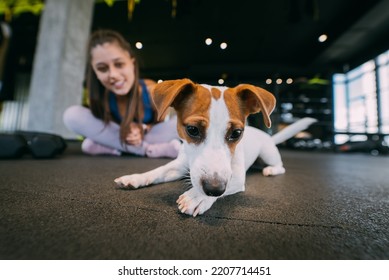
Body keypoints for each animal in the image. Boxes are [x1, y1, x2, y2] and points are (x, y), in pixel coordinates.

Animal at [113, 79, 316, 217]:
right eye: (192, 130)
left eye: (236, 133)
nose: (214, 189)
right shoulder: (179, 166)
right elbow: (158, 171)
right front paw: (136, 178)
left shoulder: (236, 177)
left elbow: (227, 184)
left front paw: (197, 197)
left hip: (268, 153)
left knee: (280, 166)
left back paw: (271, 170)